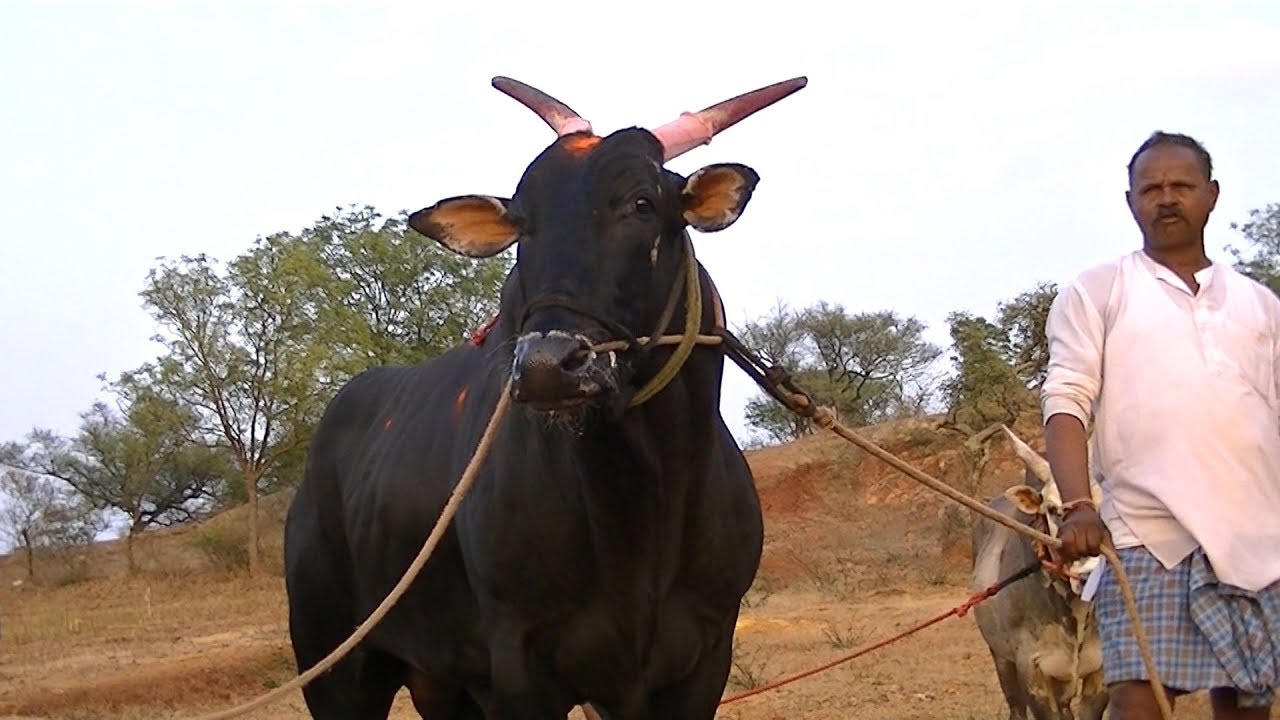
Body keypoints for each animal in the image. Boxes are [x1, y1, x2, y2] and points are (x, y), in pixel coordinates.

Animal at [282, 75, 807, 720]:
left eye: (642, 203)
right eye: (523, 223)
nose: (546, 366)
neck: (638, 510)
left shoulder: (703, 657)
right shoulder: (520, 667)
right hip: (334, 663)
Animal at [969, 426, 1108, 720]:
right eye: (1053, 509)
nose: (1089, 574)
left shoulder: (1099, 670)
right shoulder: (1032, 671)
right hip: (1001, 659)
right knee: (1016, 708)